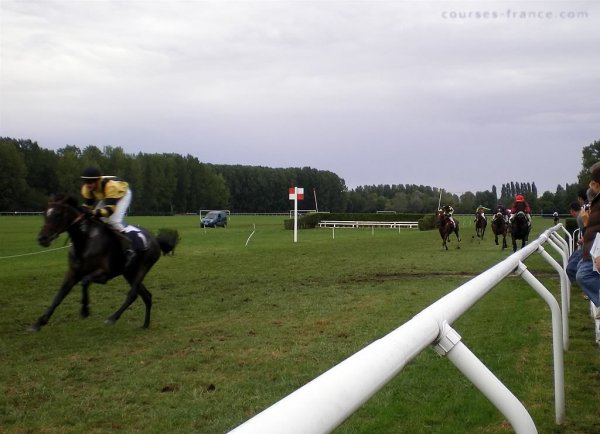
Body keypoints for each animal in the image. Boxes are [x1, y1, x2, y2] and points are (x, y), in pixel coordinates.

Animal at [32, 194, 176, 332]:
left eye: (58, 214)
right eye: (45, 213)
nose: (42, 238)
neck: (85, 242)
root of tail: (155, 239)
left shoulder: (104, 273)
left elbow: (84, 281)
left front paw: (85, 310)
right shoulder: (72, 273)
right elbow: (59, 296)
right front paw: (39, 322)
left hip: (144, 266)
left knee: (133, 294)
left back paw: (112, 318)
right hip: (129, 273)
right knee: (146, 295)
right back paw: (145, 325)